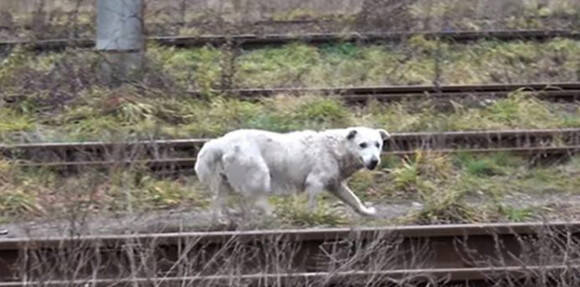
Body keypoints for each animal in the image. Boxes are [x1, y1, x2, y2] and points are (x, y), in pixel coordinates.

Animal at [195, 127, 390, 217]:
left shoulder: (336, 184)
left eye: (378, 144)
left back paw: (224, 218)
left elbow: (354, 200)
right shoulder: (315, 181)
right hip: (260, 173)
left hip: (225, 181)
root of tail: (219, 142)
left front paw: (367, 211)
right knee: (256, 200)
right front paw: (311, 216)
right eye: (362, 145)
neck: (337, 149)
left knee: (219, 202)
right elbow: (311, 202)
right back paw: (270, 214)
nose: (374, 161)